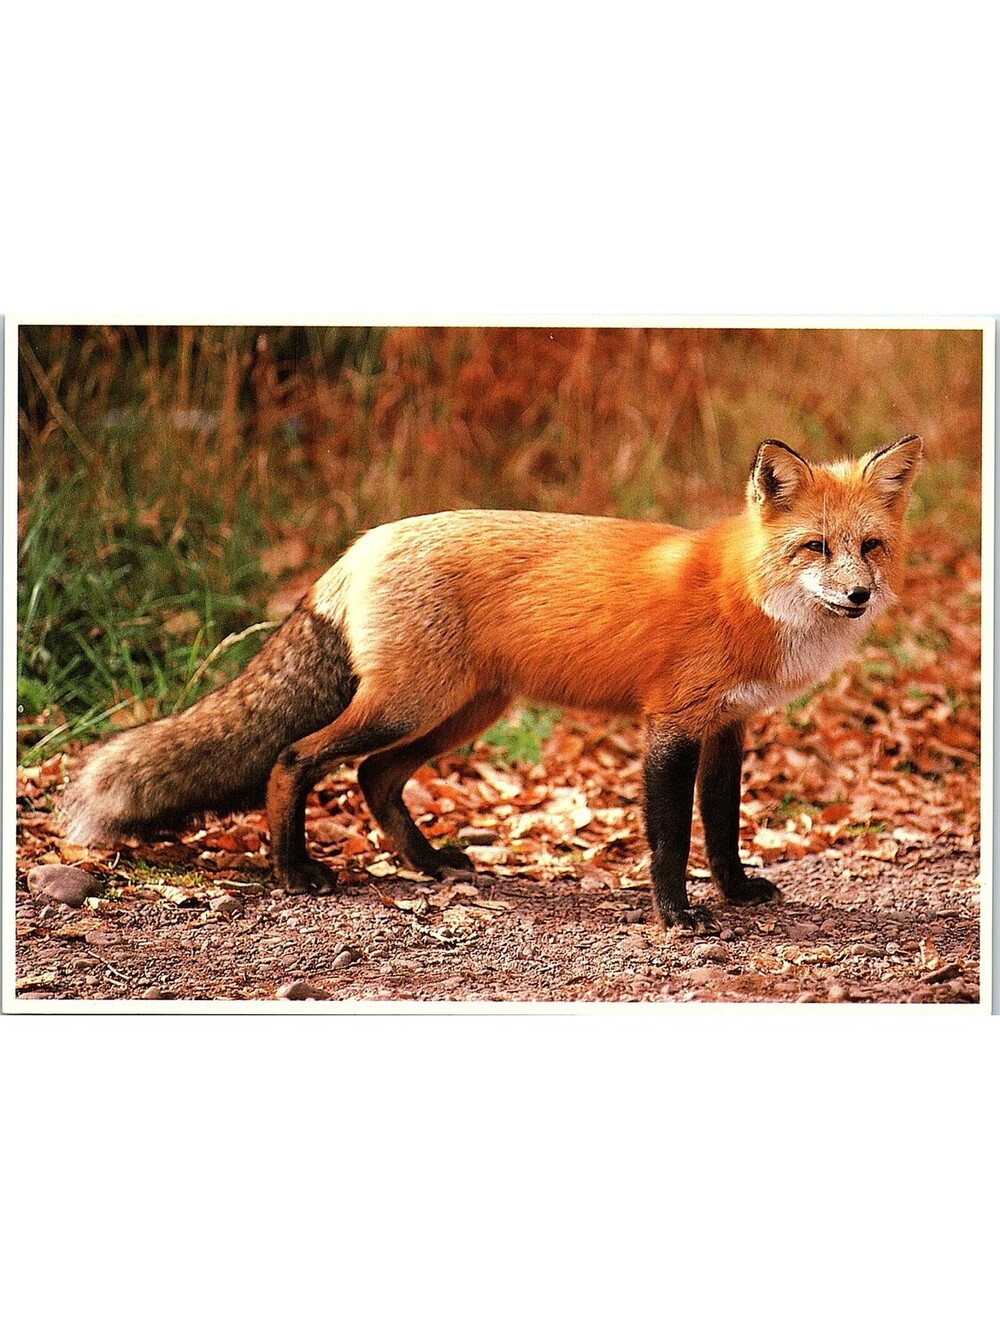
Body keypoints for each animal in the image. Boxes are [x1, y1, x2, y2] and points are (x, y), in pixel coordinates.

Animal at [62, 434, 922, 932]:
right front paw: (677, 917)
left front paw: (737, 894)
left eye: (871, 547)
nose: (858, 596)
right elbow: (672, 839)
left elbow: (721, 828)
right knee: (296, 757)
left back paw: (430, 864)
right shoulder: (672, 726)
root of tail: (365, 540)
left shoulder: (728, 727)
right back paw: (294, 871)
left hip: (461, 713)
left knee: (374, 777)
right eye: (815, 547)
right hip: (411, 706)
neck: (744, 593)